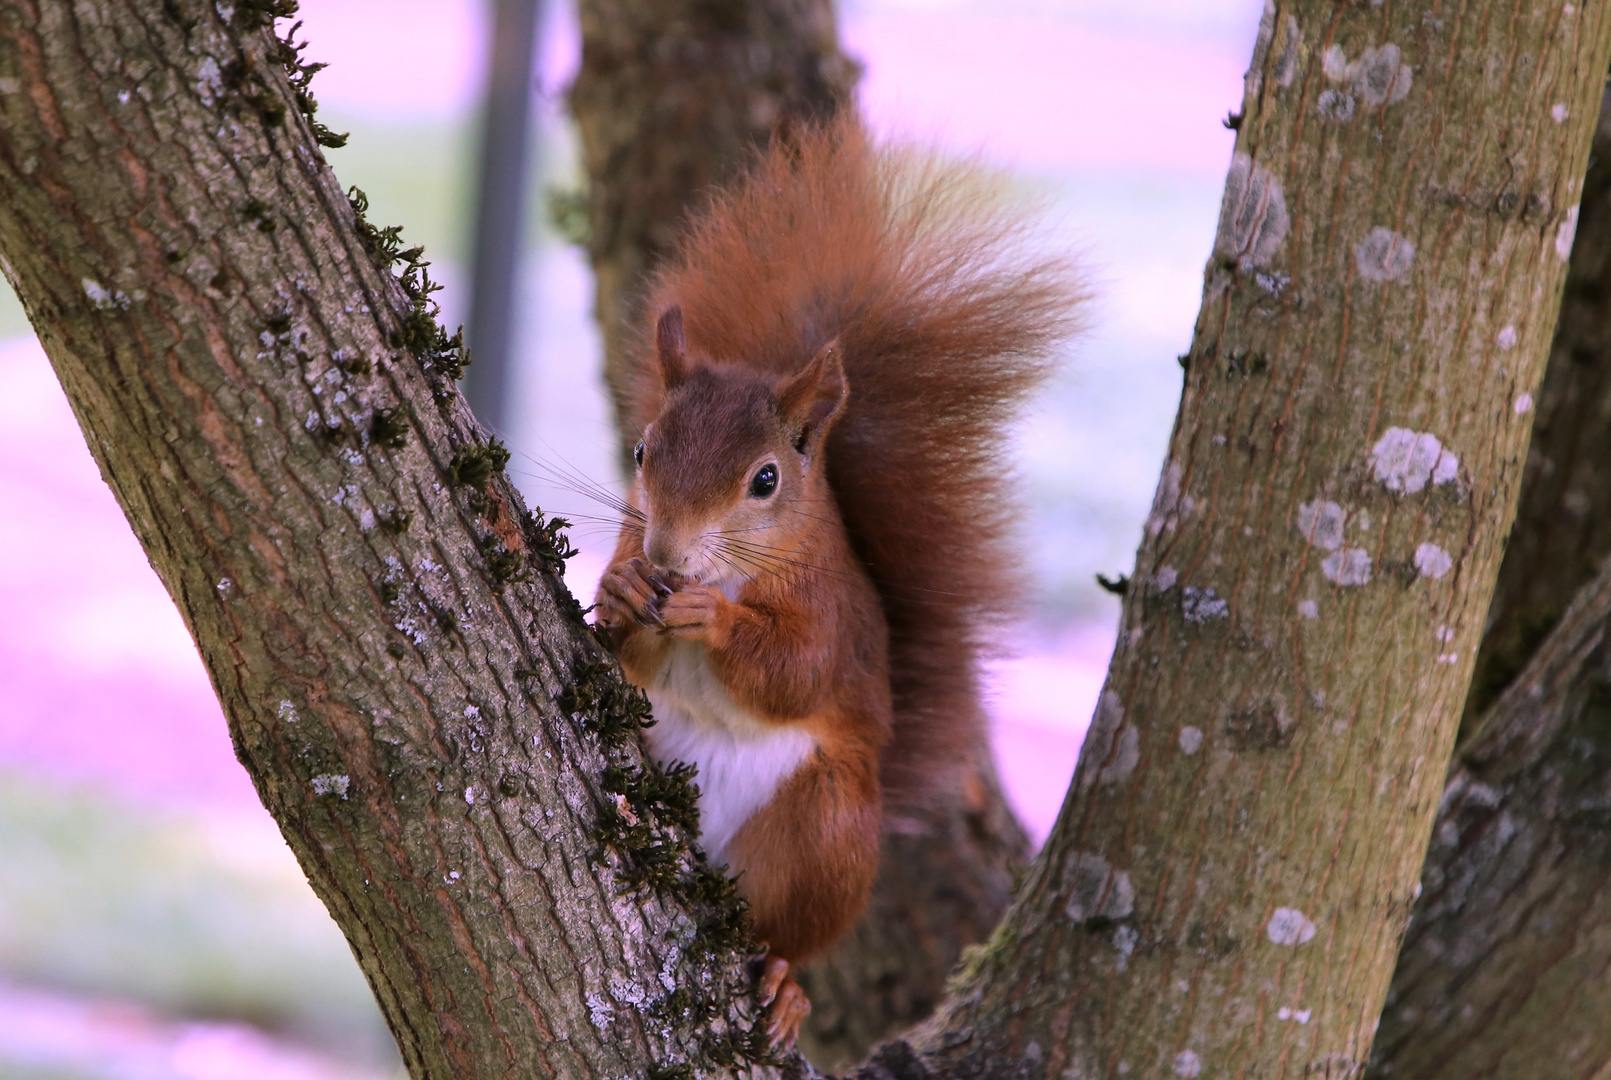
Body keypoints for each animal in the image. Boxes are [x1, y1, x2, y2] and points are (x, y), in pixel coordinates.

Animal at [592, 116, 1082, 1050]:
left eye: (766, 480)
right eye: (639, 450)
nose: (668, 555)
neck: (737, 570)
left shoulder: (832, 614)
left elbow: (796, 671)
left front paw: (714, 620)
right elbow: (619, 650)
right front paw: (629, 590)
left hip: (825, 829)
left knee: (789, 932)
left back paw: (785, 984)